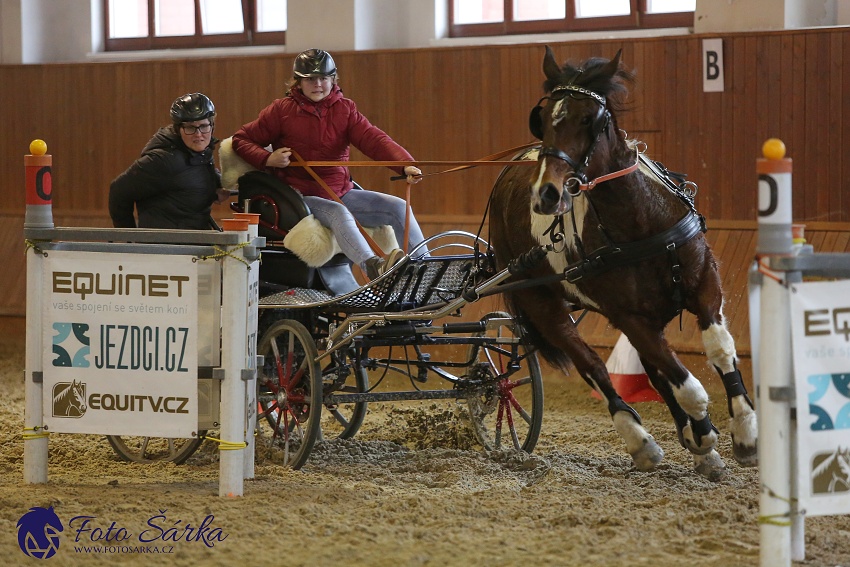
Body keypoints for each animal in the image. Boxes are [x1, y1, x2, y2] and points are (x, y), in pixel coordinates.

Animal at [486, 47, 760, 480]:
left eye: (590, 119)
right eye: (543, 120)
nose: (546, 194)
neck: (641, 222)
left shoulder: (705, 286)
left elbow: (719, 352)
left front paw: (744, 432)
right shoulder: (628, 317)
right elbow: (689, 387)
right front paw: (704, 435)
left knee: (655, 370)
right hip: (542, 303)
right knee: (593, 366)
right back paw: (642, 441)